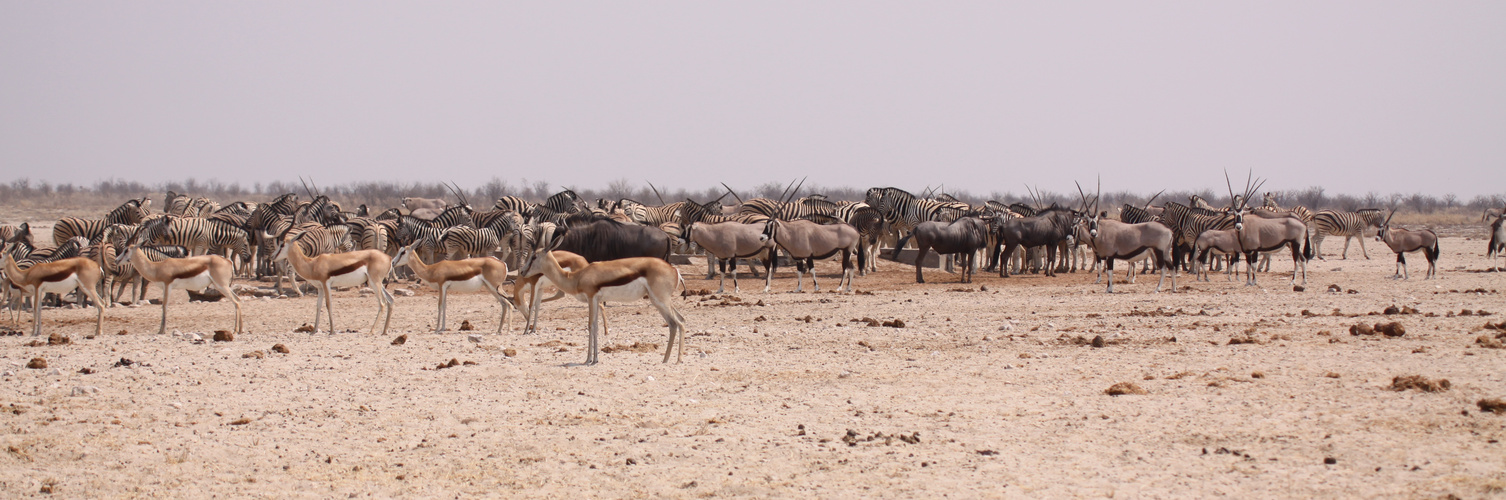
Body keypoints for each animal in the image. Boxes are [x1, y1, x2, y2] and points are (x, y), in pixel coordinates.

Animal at [518, 234, 683, 367]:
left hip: (661, 300)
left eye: (534, 256)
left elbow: (591, 326)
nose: (522, 271)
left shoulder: (591, 298)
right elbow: (596, 326)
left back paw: (673, 360)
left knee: (677, 323)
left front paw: (589, 360)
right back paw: (670, 359)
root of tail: (674, 270)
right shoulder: (597, 300)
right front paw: (594, 359)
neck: (576, 277)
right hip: (659, 301)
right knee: (678, 321)